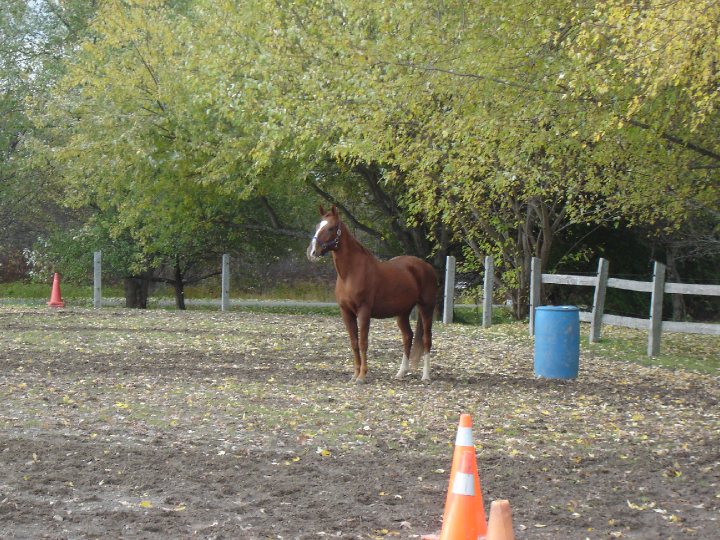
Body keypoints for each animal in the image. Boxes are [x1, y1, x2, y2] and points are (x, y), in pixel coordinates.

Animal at [306, 205, 438, 383]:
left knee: (426, 339)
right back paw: (401, 373)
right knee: (407, 337)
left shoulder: (364, 311)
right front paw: (354, 375)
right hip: (402, 312)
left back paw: (426, 375)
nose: (312, 252)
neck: (351, 273)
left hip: (426, 308)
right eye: (317, 226)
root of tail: (426, 267)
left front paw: (362, 376)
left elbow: (363, 342)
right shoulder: (346, 312)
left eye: (331, 228)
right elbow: (354, 342)